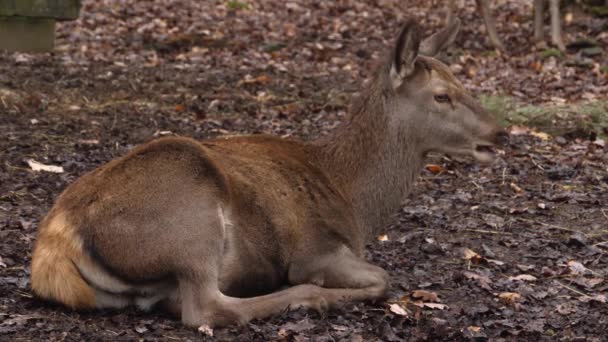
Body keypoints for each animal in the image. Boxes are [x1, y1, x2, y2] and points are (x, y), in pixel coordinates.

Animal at [30, 17, 506, 328]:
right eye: (442, 95)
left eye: (462, 83)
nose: (500, 132)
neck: (355, 200)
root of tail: (55, 240)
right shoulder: (316, 249)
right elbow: (383, 279)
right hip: (190, 215)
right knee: (206, 309)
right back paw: (306, 299)